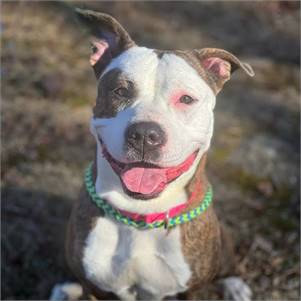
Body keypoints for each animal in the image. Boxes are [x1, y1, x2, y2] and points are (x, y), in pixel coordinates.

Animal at [51, 8, 253, 300]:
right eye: (120, 91)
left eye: (186, 99)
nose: (146, 134)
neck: (139, 216)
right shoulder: (94, 288)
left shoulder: (189, 290)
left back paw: (235, 284)